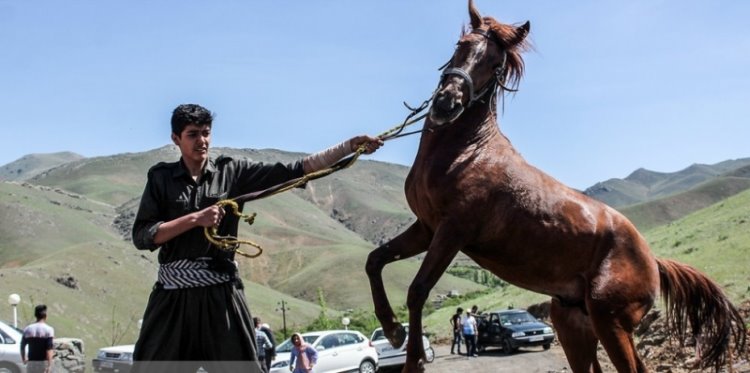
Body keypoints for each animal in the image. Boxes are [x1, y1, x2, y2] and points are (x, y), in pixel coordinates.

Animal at [366, 1, 748, 370]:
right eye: (461, 45)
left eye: (495, 64)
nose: (447, 103)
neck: (468, 152)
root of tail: (653, 259)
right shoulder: (427, 228)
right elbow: (376, 260)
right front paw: (392, 329)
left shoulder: (452, 231)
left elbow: (417, 290)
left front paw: (413, 358)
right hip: (574, 324)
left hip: (610, 322)